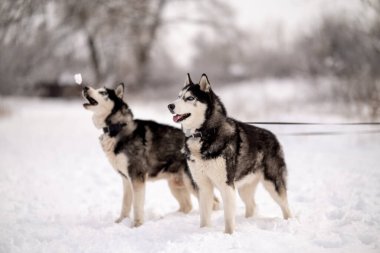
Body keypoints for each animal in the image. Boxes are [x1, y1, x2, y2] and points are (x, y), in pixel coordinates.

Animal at [81, 83, 197, 227]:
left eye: (103, 92)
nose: (85, 87)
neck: (117, 127)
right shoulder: (126, 179)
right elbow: (125, 204)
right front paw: (121, 222)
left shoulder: (137, 177)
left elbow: (137, 206)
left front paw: (136, 225)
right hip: (175, 184)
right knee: (187, 206)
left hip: (190, 182)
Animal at [168, 74, 292, 234]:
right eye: (178, 96)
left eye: (189, 98)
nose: (170, 106)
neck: (204, 134)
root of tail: (273, 136)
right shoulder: (203, 186)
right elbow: (204, 216)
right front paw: (204, 231)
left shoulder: (226, 186)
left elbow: (228, 217)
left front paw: (229, 234)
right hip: (244, 188)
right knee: (252, 205)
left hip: (273, 184)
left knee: (285, 206)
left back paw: (290, 222)